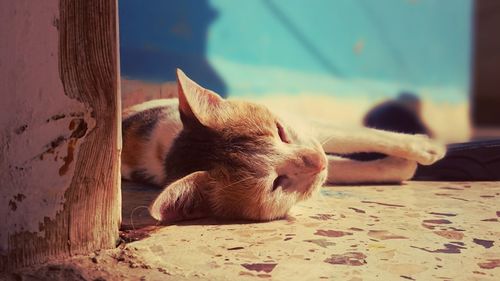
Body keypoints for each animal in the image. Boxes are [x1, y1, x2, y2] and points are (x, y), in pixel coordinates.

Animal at [123, 69, 448, 222]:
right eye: (277, 183)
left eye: (280, 131)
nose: (318, 162)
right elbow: (352, 167)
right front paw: (404, 165)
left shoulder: (309, 129)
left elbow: (363, 136)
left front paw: (423, 148)